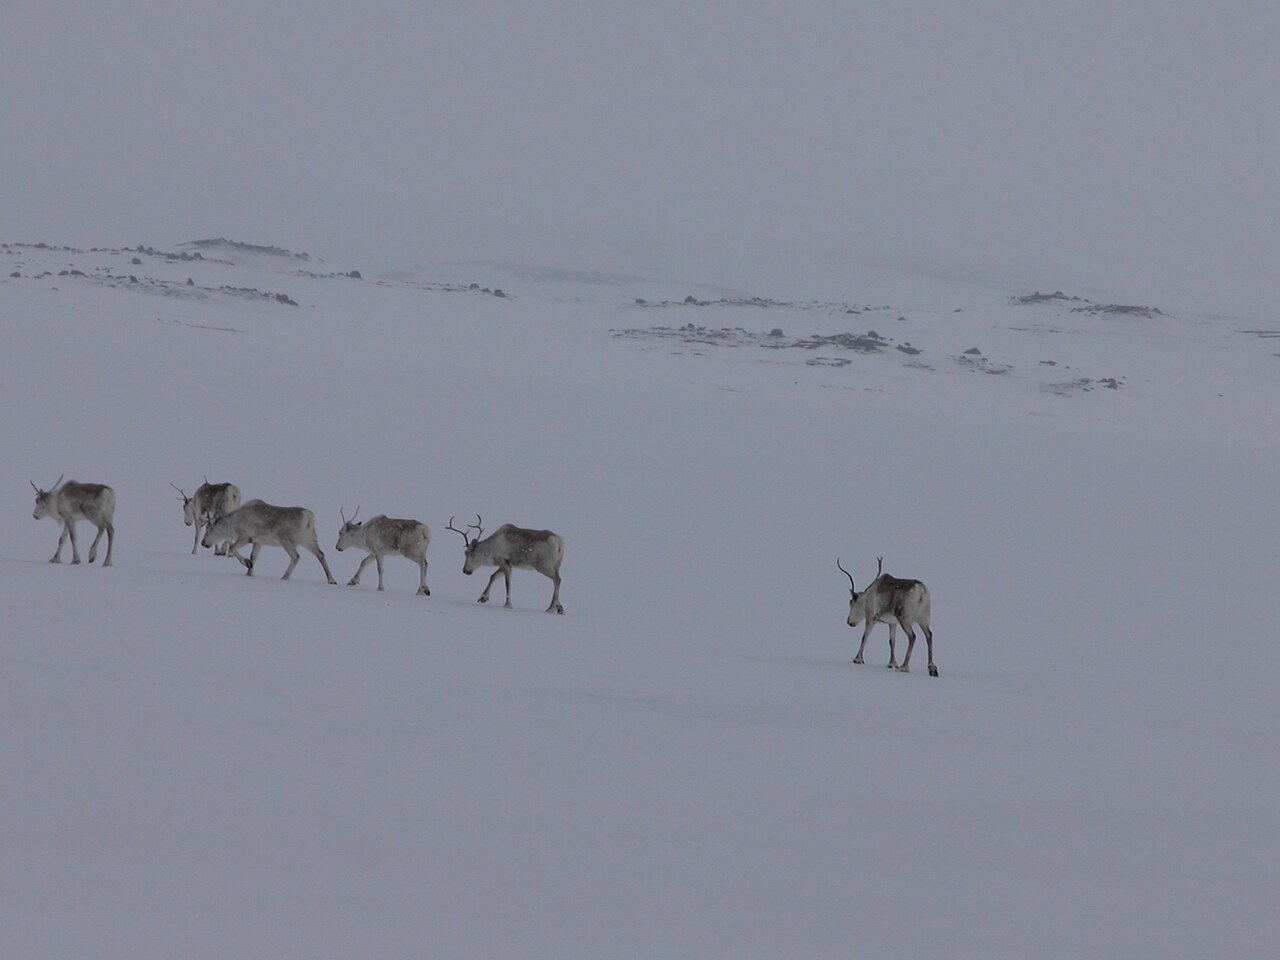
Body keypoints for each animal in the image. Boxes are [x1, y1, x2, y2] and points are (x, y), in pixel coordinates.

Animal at [201, 499, 337, 584]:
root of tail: (308, 518)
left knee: (296, 557)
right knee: (321, 554)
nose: (203, 543)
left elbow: (233, 548)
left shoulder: (245, 537)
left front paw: (247, 563)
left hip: (287, 540)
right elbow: (254, 556)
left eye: (208, 528)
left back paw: (284, 577)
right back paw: (332, 580)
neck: (232, 524)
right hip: (309, 539)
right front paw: (249, 573)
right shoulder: (258, 542)